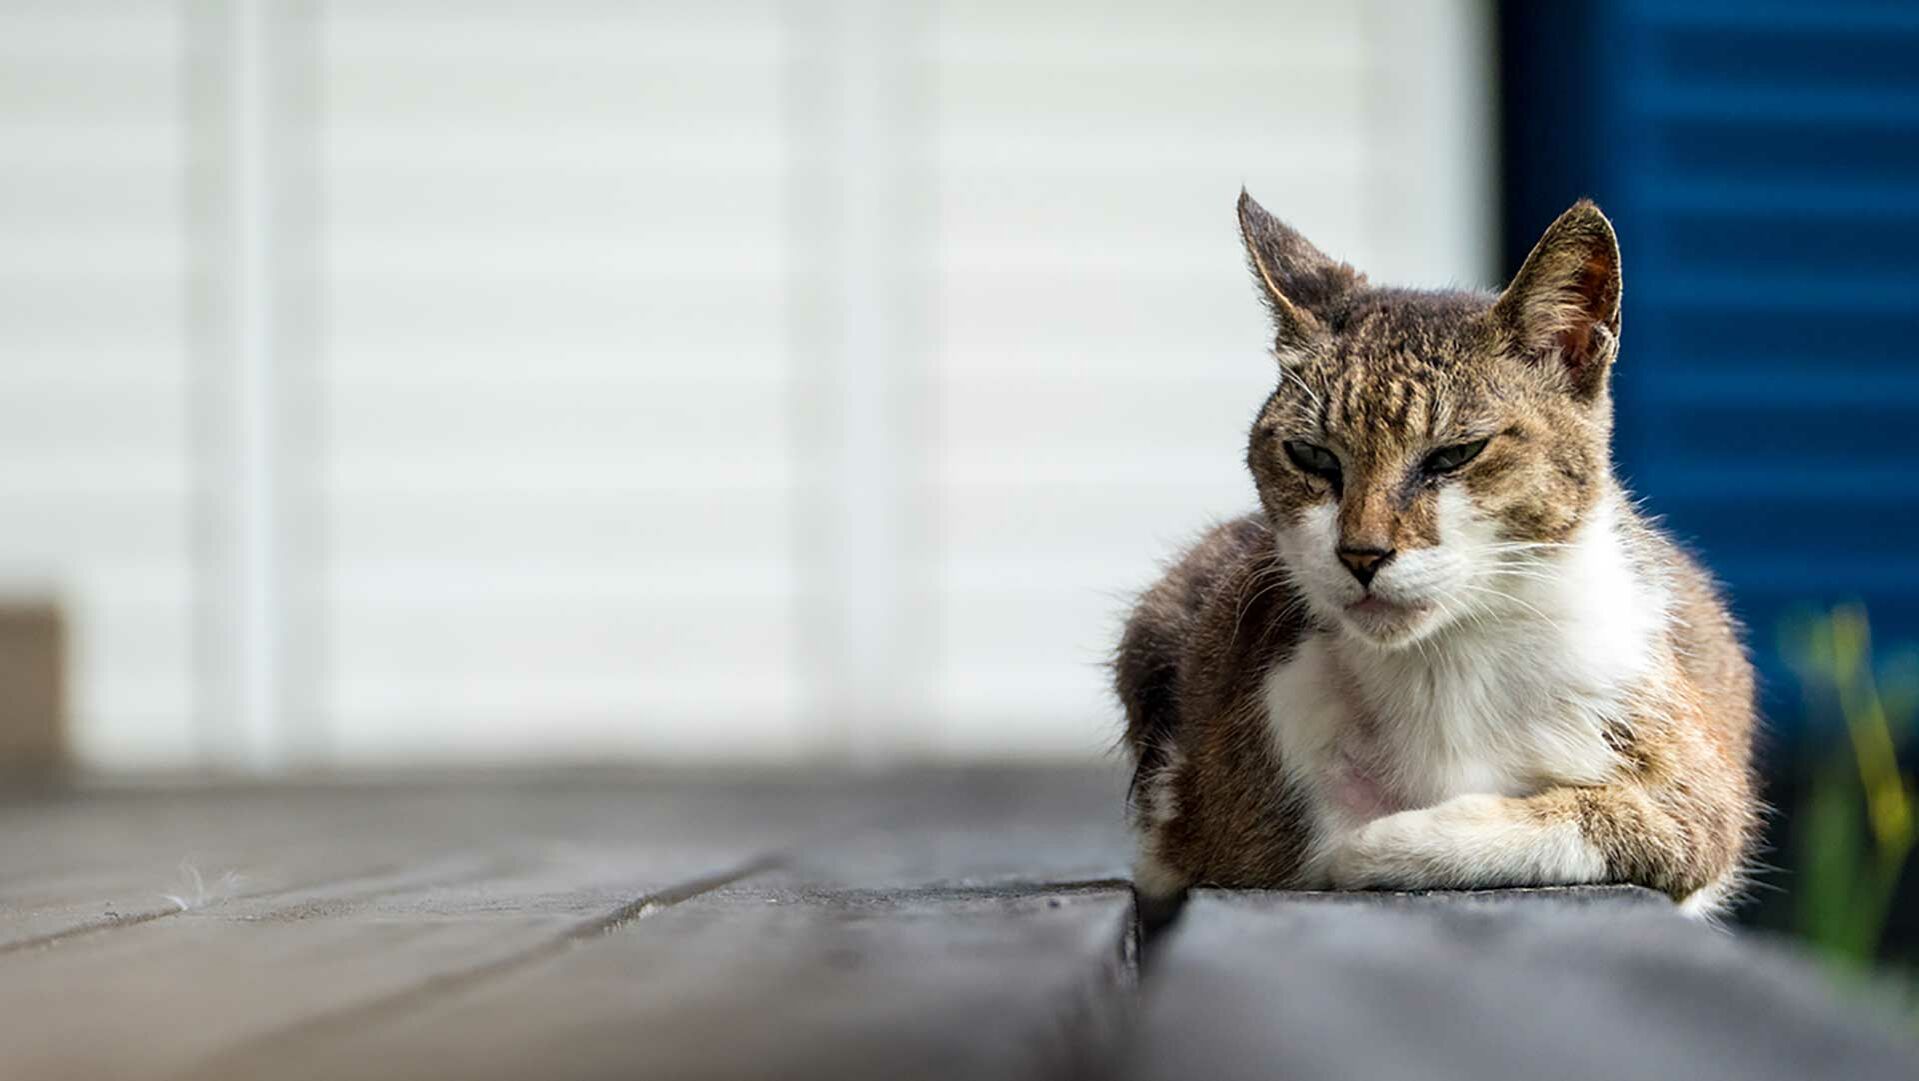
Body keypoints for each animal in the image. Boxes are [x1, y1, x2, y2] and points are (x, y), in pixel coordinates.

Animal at [1120, 190, 1757, 917]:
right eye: (1311, 455)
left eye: (1454, 455)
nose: (1361, 554)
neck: (1445, 660)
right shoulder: (1196, 817)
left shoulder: (1700, 802)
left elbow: (1606, 818)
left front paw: (1386, 840)